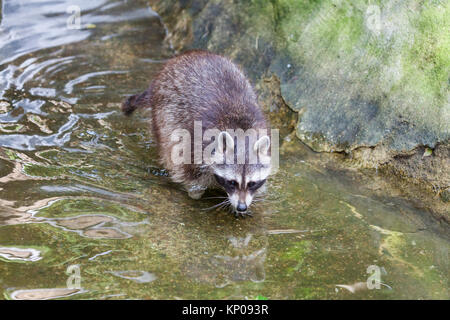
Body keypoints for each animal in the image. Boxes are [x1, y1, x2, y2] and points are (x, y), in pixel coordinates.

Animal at [121, 50, 270, 218]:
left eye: (252, 183)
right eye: (232, 182)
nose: (242, 207)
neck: (241, 131)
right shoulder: (196, 143)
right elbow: (188, 171)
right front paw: (196, 194)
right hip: (166, 110)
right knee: (169, 145)